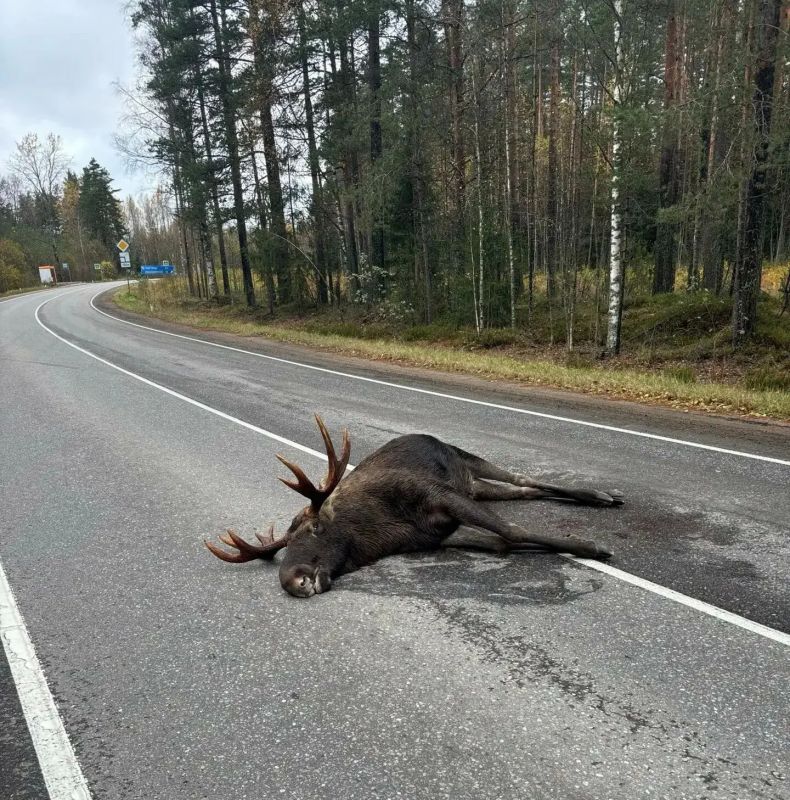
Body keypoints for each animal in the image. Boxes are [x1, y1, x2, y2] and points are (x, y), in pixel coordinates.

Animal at [205, 416, 623, 598]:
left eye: (314, 529)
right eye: (285, 543)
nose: (294, 581)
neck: (380, 532)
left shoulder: (439, 495)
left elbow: (512, 530)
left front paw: (591, 546)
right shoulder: (440, 535)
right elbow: (504, 542)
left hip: (467, 460)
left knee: (525, 479)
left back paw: (603, 495)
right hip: (476, 487)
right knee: (522, 492)